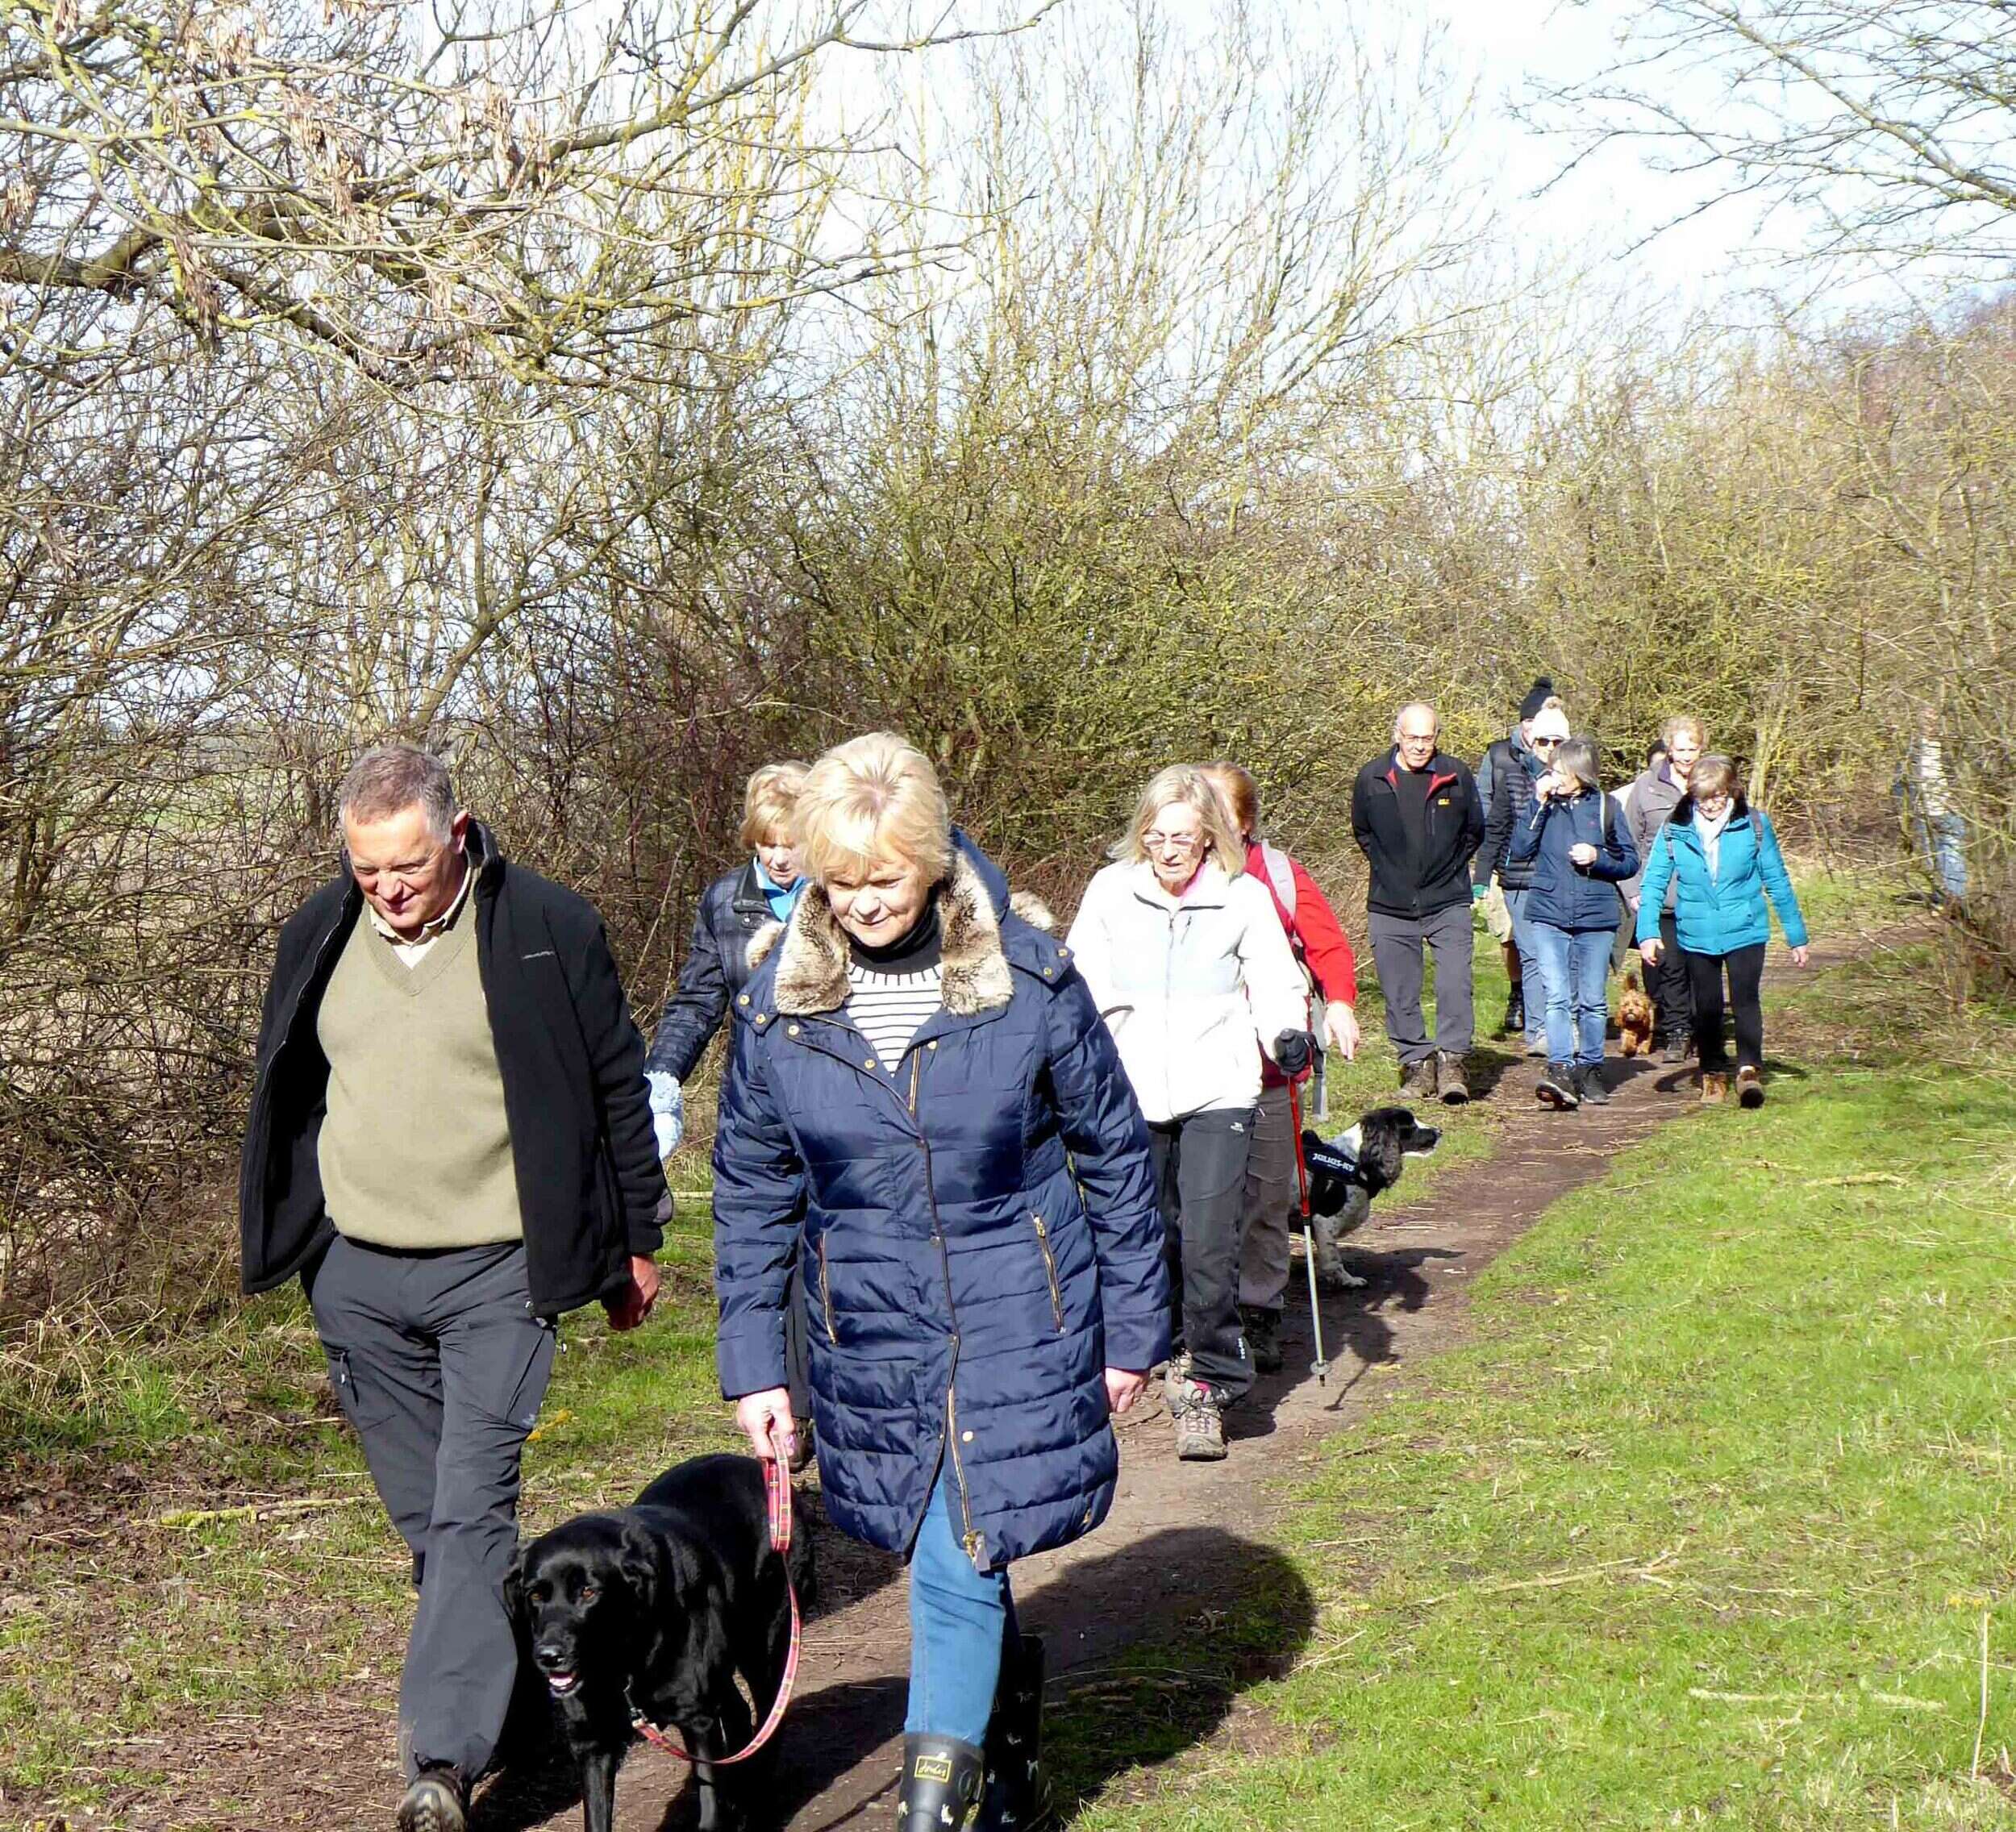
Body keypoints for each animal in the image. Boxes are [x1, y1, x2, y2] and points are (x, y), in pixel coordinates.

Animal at [506, 1453, 815, 1832]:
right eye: (535, 1594)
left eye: (589, 1592)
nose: (549, 1656)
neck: (623, 1659)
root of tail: (759, 1465)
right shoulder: (592, 1741)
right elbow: (597, 1817)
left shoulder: (697, 1720)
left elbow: (709, 1809)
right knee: (738, 1712)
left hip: (767, 1648)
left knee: (768, 1723)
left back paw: (757, 1807)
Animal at [1298, 1105, 1441, 1291]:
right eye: (1410, 1125)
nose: (1439, 1131)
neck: (1355, 1159)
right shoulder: (1324, 1222)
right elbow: (1334, 1260)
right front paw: (1347, 1280)